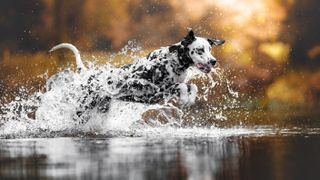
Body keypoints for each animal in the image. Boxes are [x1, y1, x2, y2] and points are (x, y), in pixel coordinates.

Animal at [50, 28, 225, 123]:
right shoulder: (155, 90)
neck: (172, 61)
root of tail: (90, 75)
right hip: (81, 110)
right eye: (200, 50)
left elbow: (192, 86)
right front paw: (184, 99)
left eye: (210, 49)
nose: (213, 61)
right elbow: (182, 86)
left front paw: (190, 99)